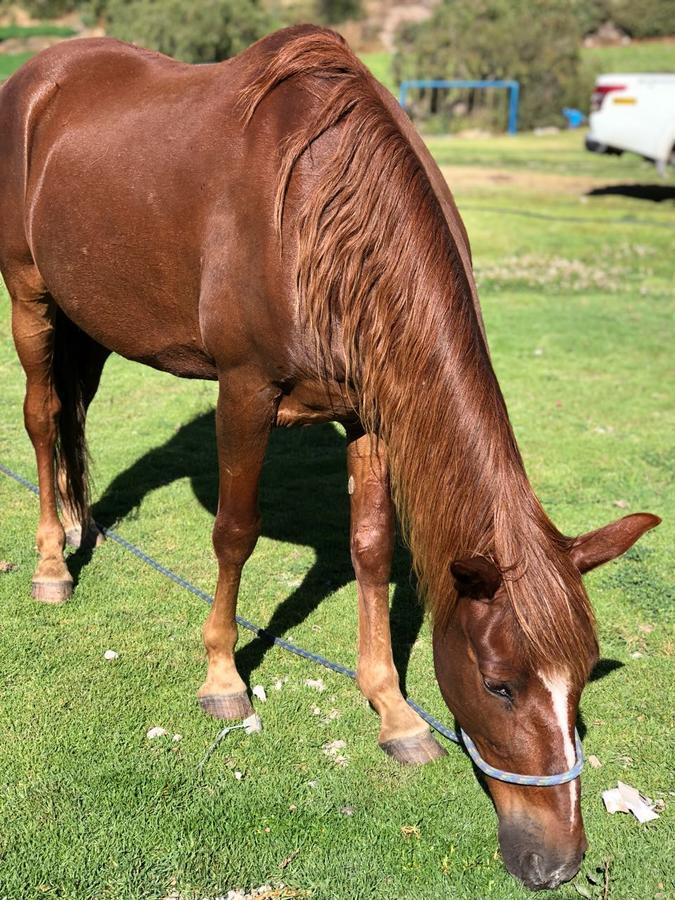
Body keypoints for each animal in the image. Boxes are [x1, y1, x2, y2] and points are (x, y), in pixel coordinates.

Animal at [0, 24, 660, 888]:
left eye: (582, 677)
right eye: (499, 686)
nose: (554, 862)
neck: (323, 213)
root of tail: (40, 73)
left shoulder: (371, 414)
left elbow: (372, 552)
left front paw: (394, 710)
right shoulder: (245, 390)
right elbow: (235, 534)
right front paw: (222, 679)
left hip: (94, 314)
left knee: (75, 412)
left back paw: (84, 528)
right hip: (30, 296)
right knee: (45, 419)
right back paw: (52, 563)